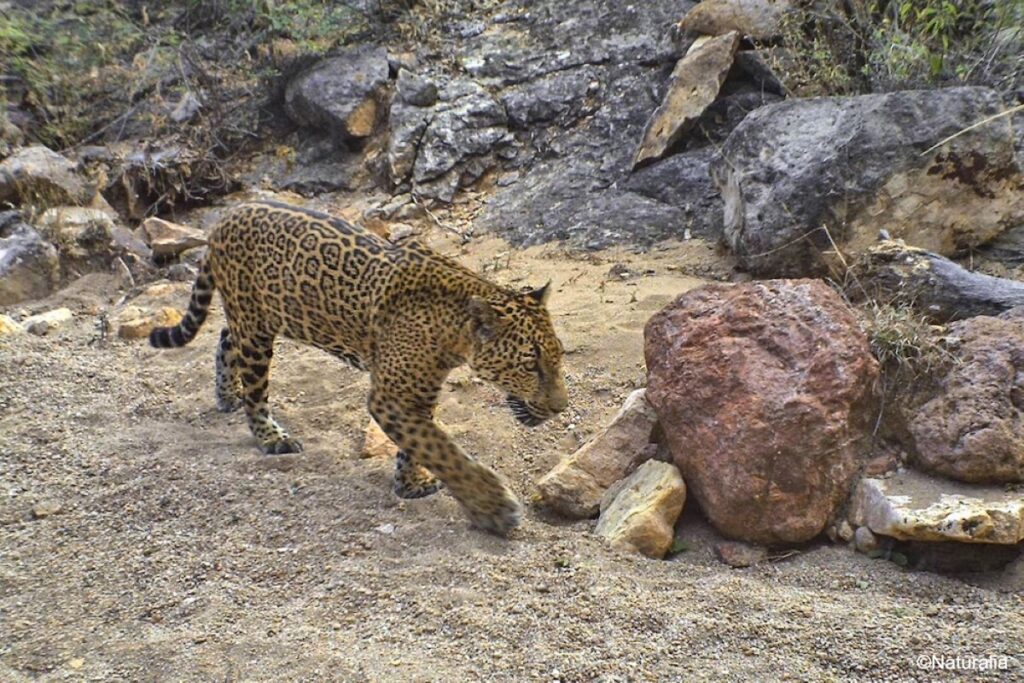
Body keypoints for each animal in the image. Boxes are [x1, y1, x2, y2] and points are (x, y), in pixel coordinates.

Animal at [149, 200, 568, 535]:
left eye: (559, 356)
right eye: (530, 364)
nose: (560, 407)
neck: (452, 331)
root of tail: (225, 217)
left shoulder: (417, 394)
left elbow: (419, 443)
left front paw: (409, 484)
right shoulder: (392, 396)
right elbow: (442, 449)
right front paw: (493, 508)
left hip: (255, 318)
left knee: (223, 337)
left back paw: (226, 395)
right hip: (255, 328)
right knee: (254, 389)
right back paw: (271, 436)